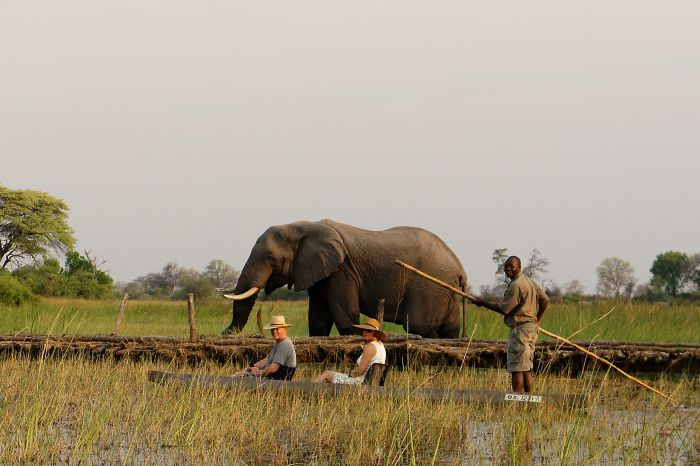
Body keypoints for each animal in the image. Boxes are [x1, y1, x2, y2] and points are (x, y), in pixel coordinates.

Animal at [223, 220, 464, 336]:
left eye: (270, 258)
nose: (225, 332)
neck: (303, 226)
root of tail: (460, 268)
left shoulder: (342, 270)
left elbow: (346, 316)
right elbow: (318, 320)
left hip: (429, 287)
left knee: (418, 326)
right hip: (445, 290)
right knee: (449, 330)